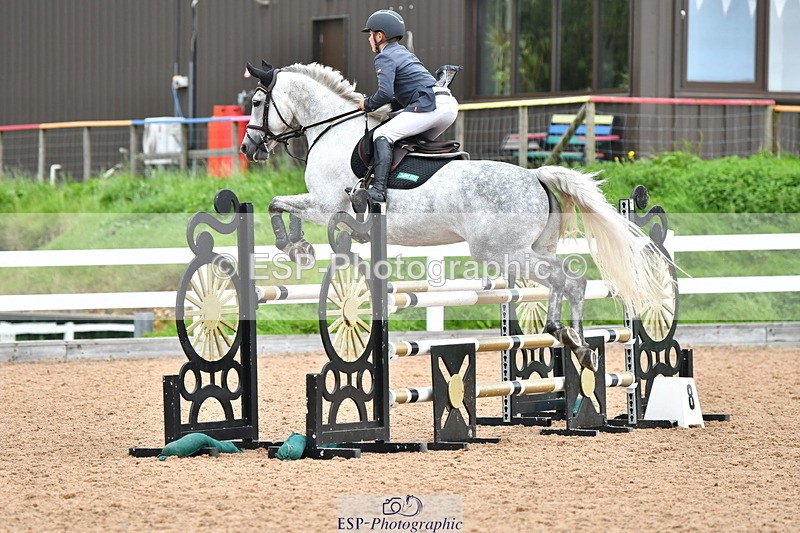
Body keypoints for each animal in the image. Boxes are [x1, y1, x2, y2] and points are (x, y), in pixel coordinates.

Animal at [239, 61, 667, 371]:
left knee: (568, 280)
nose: (248, 147)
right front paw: (300, 248)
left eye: (258, 103)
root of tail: (537, 177)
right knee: (568, 280)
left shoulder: (326, 204)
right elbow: (281, 204)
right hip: (533, 249)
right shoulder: (325, 205)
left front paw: (296, 248)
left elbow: (277, 203)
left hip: (500, 252)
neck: (332, 131)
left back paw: (565, 336)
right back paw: (572, 342)